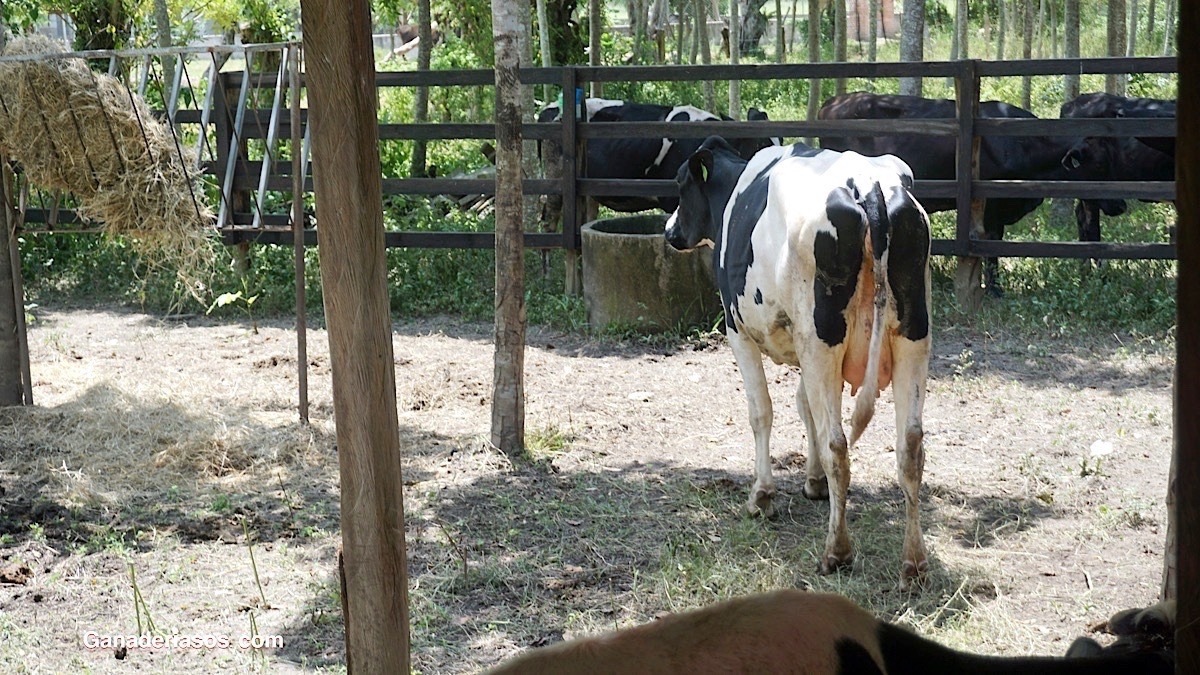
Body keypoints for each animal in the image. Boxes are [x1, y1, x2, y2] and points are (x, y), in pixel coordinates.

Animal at [667, 135, 936, 583]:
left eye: (681, 185)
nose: (669, 230)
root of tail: (867, 185)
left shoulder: (738, 329)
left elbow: (762, 411)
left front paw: (762, 496)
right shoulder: (802, 347)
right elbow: (805, 406)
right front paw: (814, 483)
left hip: (821, 340)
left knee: (838, 444)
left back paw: (837, 551)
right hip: (910, 336)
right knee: (910, 446)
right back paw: (913, 561)